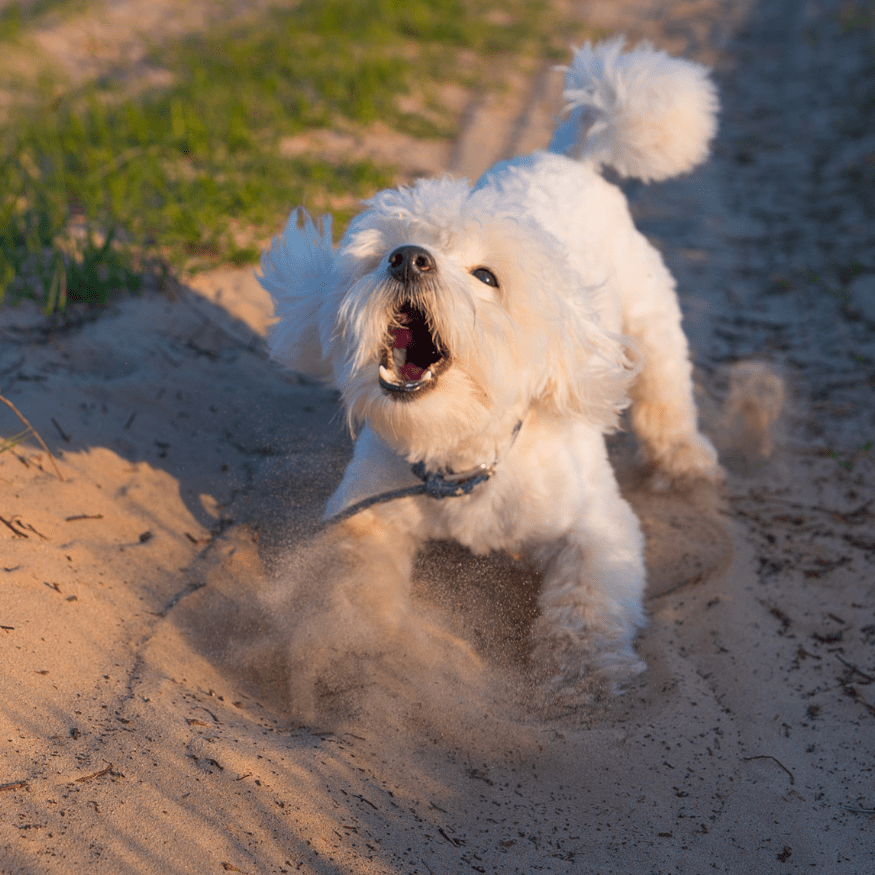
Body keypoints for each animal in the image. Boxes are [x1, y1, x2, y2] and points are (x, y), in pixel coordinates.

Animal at [258, 39, 720, 700]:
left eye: (485, 276)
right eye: (382, 253)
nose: (409, 258)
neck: (462, 458)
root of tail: (572, 159)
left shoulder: (599, 527)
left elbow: (588, 601)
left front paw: (586, 673)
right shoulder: (367, 514)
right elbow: (349, 581)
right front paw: (341, 650)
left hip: (651, 321)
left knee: (666, 393)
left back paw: (682, 461)